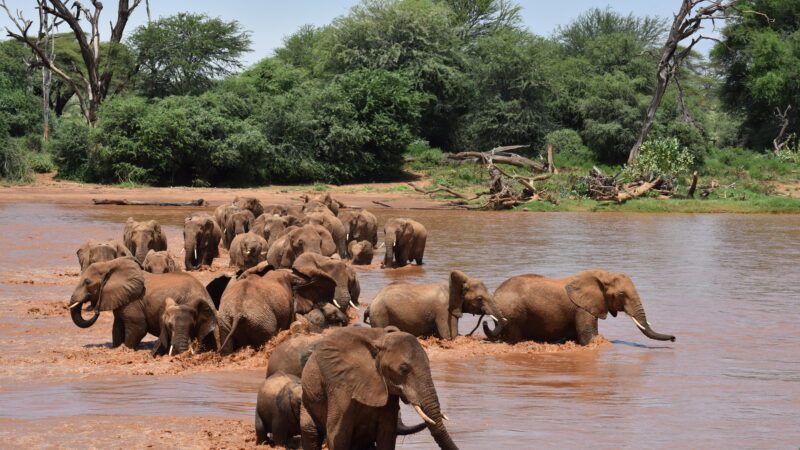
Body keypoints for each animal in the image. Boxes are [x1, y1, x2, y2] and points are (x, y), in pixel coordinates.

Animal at [68, 256, 216, 356]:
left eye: (87, 282)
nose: (94, 309)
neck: (110, 264)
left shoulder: (133, 301)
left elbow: (138, 328)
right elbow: (117, 328)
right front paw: (116, 348)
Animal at [298, 326, 456, 450]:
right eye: (404, 369)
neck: (379, 341)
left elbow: (386, 435)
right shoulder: (341, 387)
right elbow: (338, 437)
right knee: (311, 434)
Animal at [364, 268, 506, 340]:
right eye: (480, 298)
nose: (485, 321)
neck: (454, 287)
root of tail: (371, 303)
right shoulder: (443, 311)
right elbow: (449, 337)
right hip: (380, 314)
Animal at [484, 268, 680, 346]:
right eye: (621, 295)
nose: (674, 338)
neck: (602, 274)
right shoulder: (582, 308)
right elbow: (589, 339)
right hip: (513, 313)